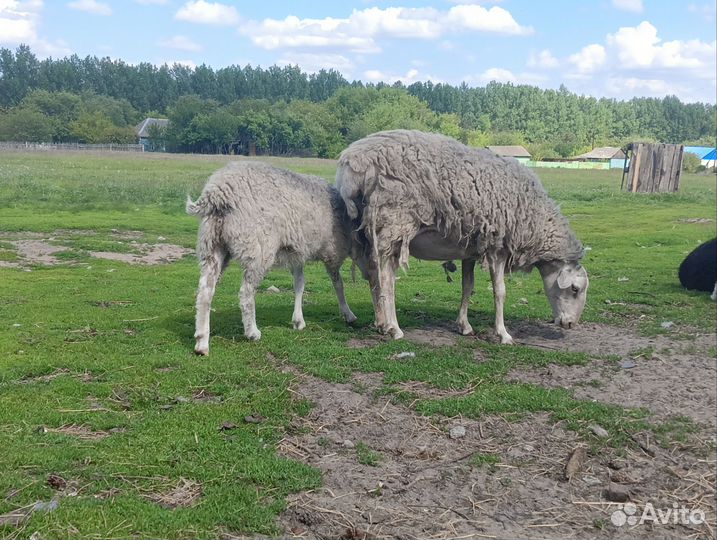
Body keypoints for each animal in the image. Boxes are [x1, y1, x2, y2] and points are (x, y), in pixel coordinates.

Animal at [187, 161, 357, 355]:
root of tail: (218, 192)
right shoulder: (332, 251)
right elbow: (338, 284)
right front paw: (347, 313)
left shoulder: (296, 252)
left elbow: (299, 284)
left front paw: (298, 320)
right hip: (258, 247)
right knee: (246, 292)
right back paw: (252, 332)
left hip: (212, 245)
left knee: (205, 291)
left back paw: (202, 342)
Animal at [337, 129, 589, 344]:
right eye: (575, 289)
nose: (570, 324)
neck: (535, 221)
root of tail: (351, 163)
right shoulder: (498, 247)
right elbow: (500, 292)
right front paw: (503, 334)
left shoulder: (471, 248)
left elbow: (468, 287)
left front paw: (464, 326)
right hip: (394, 225)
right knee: (387, 280)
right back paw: (394, 328)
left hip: (369, 231)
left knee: (373, 276)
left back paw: (381, 323)